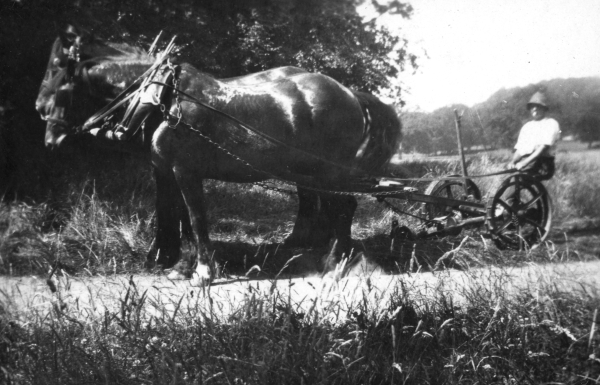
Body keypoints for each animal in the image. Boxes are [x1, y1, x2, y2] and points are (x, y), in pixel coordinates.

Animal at [38, 27, 404, 284]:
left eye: (59, 71)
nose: (42, 116)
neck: (162, 97)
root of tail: (350, 94)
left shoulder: (185, 169)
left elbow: (196, 218)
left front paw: (201, 272)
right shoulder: (167, 169)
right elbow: (178, 217)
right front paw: (178, 265)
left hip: (329, 171)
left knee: (344, 206)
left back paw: (336, 264)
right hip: (311, 170)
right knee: (328, 205)